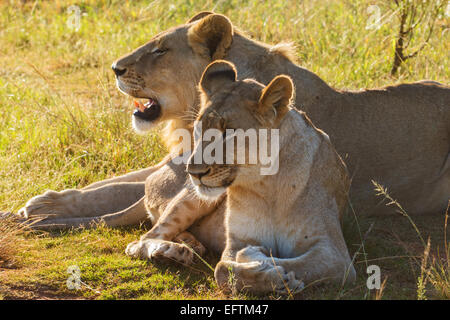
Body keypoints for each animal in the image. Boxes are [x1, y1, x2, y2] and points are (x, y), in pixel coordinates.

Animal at [16, 12, 446, 238]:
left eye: (160, 50)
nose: (115, 69)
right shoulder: (177, 161)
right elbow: (110, 183)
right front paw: (45, 200)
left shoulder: (187, 167)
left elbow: (117, 189)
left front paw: (39, 207)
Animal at [185, 60, 356, 296]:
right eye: (198, 129)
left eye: (228, 132)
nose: (194, 172)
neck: (266, 184)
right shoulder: (238, 239)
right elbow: (223, 270)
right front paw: (273, 274)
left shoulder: (335, 254)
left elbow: (297, 264)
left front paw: (273, 268)